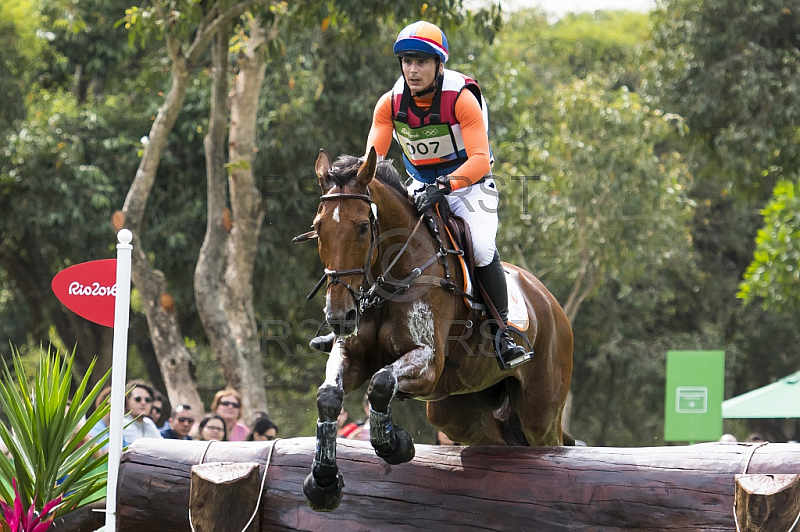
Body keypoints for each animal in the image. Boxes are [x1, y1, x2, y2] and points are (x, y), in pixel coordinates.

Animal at [304, 149, 572, 512]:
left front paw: (394, 444)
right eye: (318, 228)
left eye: (362, 228)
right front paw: (323, 482)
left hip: (540, 412)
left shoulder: (428, 364)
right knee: (501, 443)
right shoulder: (353, 356)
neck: (388, 279)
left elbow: (381, 383)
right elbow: (330, 395)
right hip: (457, 414)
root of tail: (550, 302)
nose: (339, 316)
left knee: (546, 442)